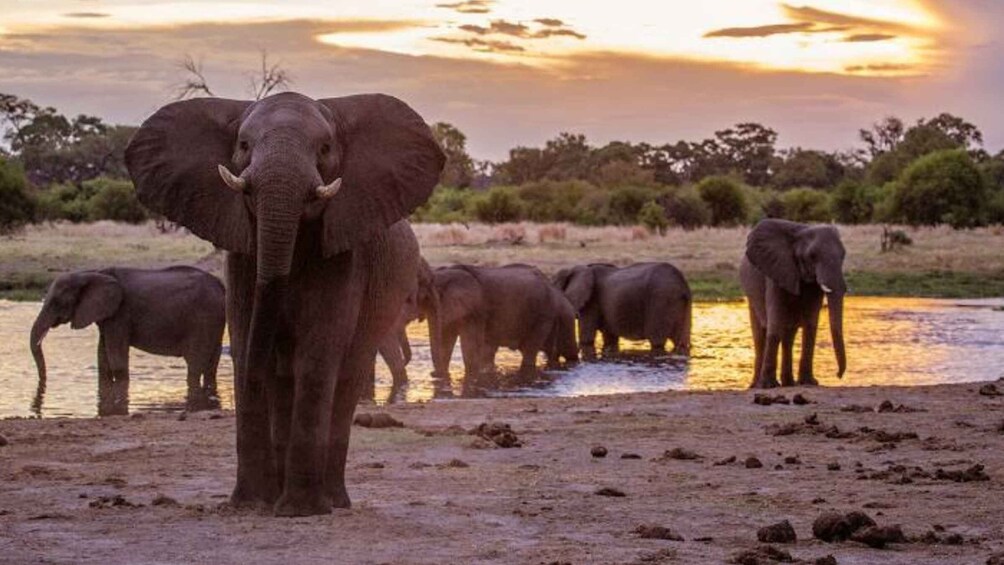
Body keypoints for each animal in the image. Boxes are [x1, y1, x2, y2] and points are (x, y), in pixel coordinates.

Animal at [29, 266, 225, 416]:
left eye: (56, 301)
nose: (42, 386)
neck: (93, 273)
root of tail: (220, 286)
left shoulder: (120, 314)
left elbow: (117, 361)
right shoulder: (107, 316)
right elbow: (103, 360)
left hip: (203, 320)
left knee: (195, 366)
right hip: (214, 322)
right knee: (211, 367)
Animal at [126, 92, 444, 516]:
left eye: (324, 148)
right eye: (244, 145)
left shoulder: (343, 253)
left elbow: (317, 354)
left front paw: (300, 510)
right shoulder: (241, 253)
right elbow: (247, 340)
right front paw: (248, 506)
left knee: (345, 375)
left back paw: (332, 501)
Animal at [426, 264, 577, 378]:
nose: (433, 374)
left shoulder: (476, 311)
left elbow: (470, 346)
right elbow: (446, 339)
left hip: (544, 314)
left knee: (535, 350)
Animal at [553, 262, 692, 358]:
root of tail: (683, 286)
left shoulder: (591, 301)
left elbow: (586, 340)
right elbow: (610, 340)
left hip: (661, 301)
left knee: (657, 342)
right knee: (682, 341)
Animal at [739, 219, 847, 389]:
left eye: (843, 255)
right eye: (812, 256)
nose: (838, 375)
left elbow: (810, 326)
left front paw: (809, 383)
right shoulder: (776, 271)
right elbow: (775, 325)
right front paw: (769, 385)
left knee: (788, 335)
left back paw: (789, 383)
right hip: (751, 295)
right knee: (760, 334)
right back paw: (756, 385)